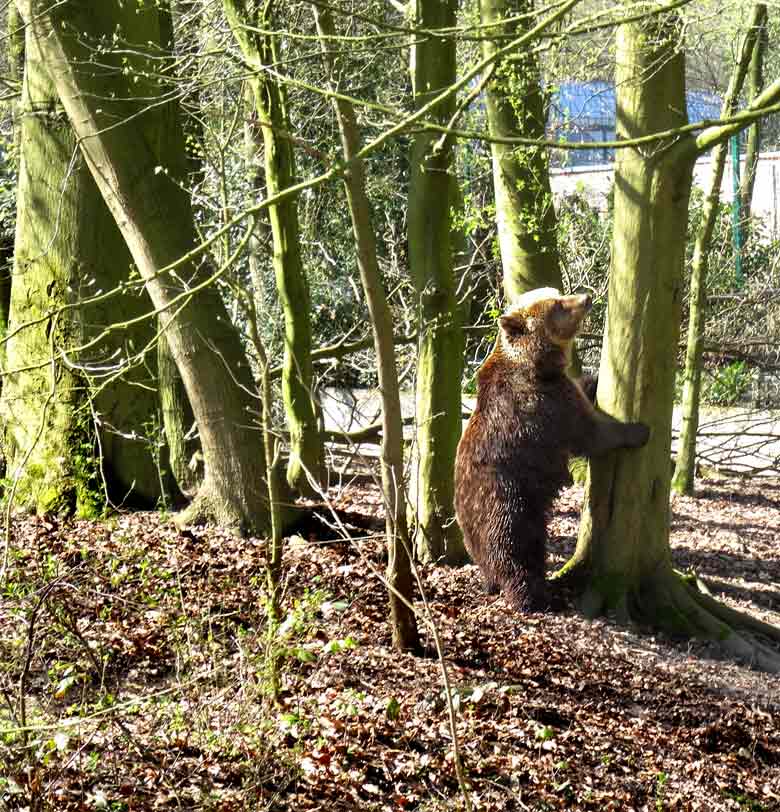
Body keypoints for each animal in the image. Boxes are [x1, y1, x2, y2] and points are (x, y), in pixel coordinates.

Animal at [454, 288, 648, 612]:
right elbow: (590, 433)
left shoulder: (557, 389)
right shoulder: (546, 405)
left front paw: (593, 378)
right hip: (509, 505)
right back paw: (535, 597)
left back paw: (493, 584)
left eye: (557, 293)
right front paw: (638, 430)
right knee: (516, 556)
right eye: (557, 304)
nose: (585, 298)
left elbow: (582, 390)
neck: (537, 364)